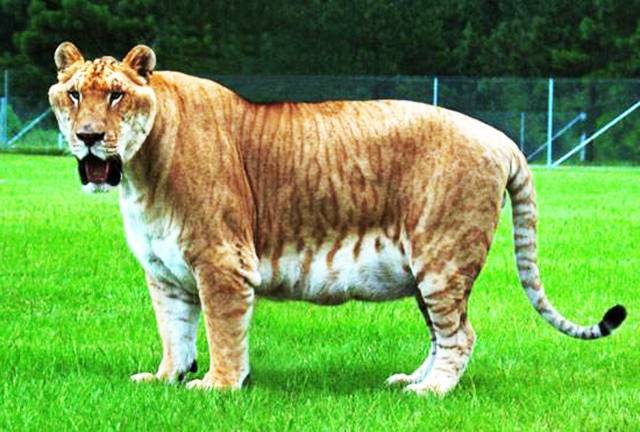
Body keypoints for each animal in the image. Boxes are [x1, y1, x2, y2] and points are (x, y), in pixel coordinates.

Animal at [48, 42, 626, 395]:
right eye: (73, 94)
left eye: (116, 95)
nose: (88, 136)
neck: (139, 173)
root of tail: (503, 139)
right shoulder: (165, 273)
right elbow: (175, 331)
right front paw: (165, 378)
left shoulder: (222, 262)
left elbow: (222, 329)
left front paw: (218, 385)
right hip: (426, 271)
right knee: (443, 335)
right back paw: (410, 380)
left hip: (443, 257)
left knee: (461, 335)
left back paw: (431, 393)